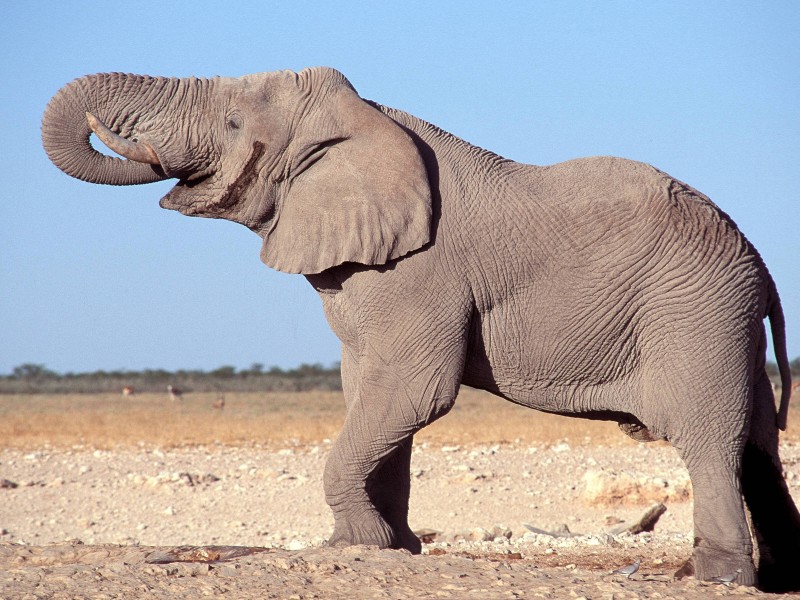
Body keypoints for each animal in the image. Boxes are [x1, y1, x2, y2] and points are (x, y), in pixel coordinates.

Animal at [45, 67, 800, 592]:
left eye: (233, 124)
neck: (362, 121)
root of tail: (761, 267)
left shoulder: (421, 271)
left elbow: (414, 391)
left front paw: (357, 545)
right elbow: (369, 394)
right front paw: (390, 546)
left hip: (694, 315)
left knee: (708, 441)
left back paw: (713, 578)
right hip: (721, 319)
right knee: (756, 448)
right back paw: (775, 578)